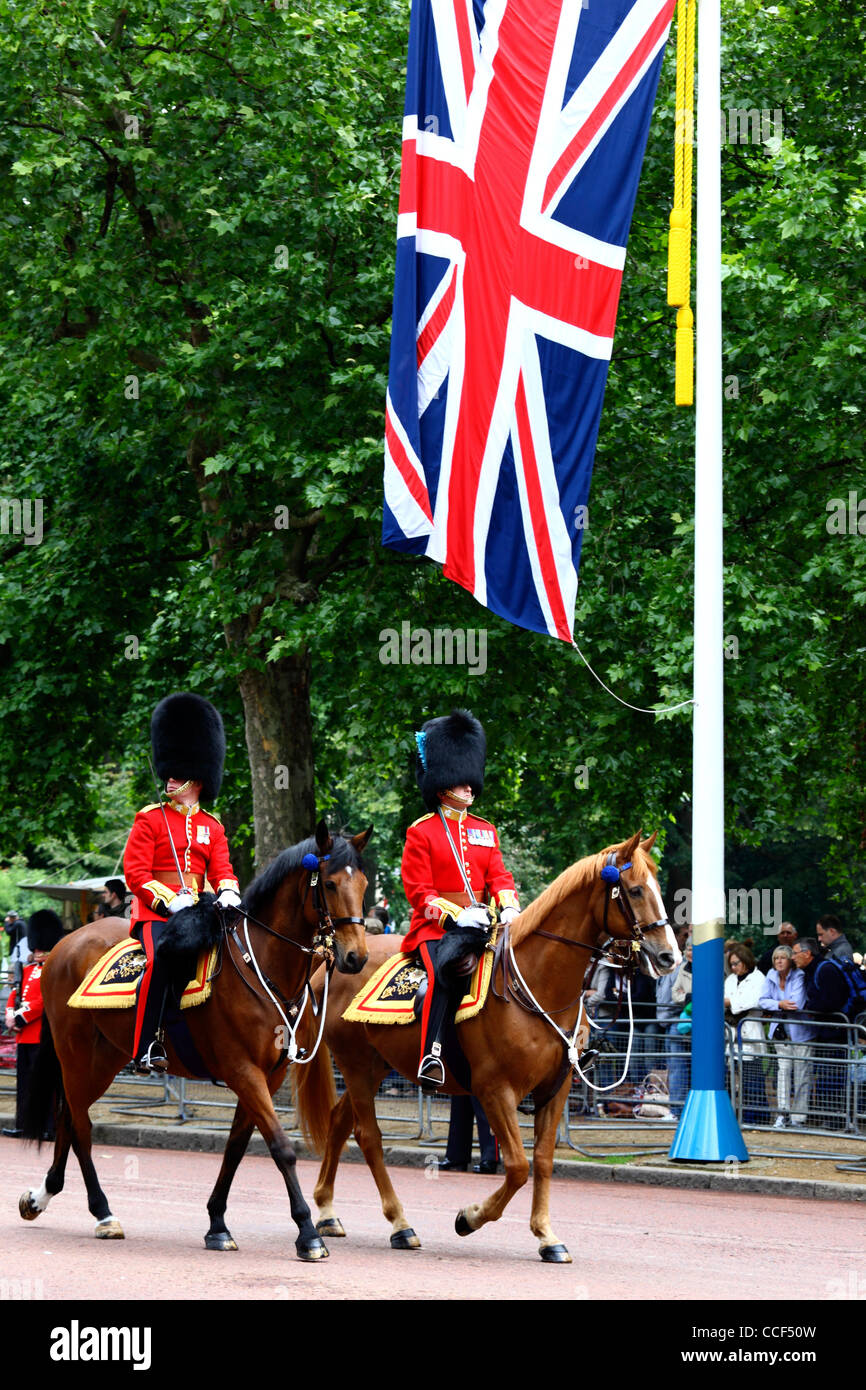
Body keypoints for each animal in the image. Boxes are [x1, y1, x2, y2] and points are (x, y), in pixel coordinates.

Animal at [16, 817, 369, 1267]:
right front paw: (307, 1233)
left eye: (363, 883)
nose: (356, 958)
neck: (262, 965)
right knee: (80, 1124)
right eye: (328, 883)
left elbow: (236, 1148)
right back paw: (102, 1211)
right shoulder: (242, 1071)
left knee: (67, 1118)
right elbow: (281, 1147)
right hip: (77, 1056)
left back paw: (43, 1197)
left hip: (103, 1060)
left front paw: (217, 1223)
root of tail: (63, 945)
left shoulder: (267, 1077)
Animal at [294, 828, 681, 1267]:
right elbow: (516, 1165)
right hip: (356, 1065)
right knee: (368, 1135)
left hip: (376, 1066)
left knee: (340, 1122)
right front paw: (471, 1217)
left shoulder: (556, 1090)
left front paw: (547, 1235)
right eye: (634, 890)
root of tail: (336, 963)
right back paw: (400, 1224)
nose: (669, 956)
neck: (537, 984)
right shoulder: (495, 1090)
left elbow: (542, 1161)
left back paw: (327, 1212)